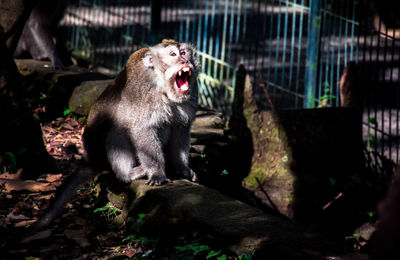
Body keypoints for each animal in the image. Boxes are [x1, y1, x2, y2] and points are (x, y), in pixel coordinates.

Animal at [35, 39, 200, 229]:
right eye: (173, 54)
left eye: (184, 52)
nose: (184, 60)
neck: (163, 86)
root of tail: (91, 159)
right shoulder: (144, 94)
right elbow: (142, 129)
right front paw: (157, 172)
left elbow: (181, 129)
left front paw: (182, 168)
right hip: (102, 153)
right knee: (116, 130)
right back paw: (127, 174)